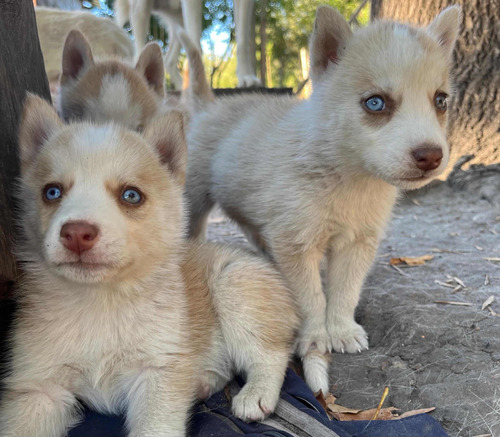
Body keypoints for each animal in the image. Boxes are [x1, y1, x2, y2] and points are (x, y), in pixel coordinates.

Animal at [0, 96, 296, 436]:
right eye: (52, 192)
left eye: (131, 195)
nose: (76, 234)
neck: (101, 303)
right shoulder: (38, 389)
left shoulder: (158, 372)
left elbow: (155, 427)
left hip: (235, 284)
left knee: (273, 354)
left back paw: (256, 394)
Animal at [183, 5, 460, 358]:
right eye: (375, 102)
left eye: (441, 101)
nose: (431, 156)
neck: (350, 181)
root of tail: (211, 105)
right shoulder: (296, 245)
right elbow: (309, 297)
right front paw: (314, 337)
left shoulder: (358, 243)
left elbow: (345, 292)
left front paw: (342, 331)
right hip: (194, 200)